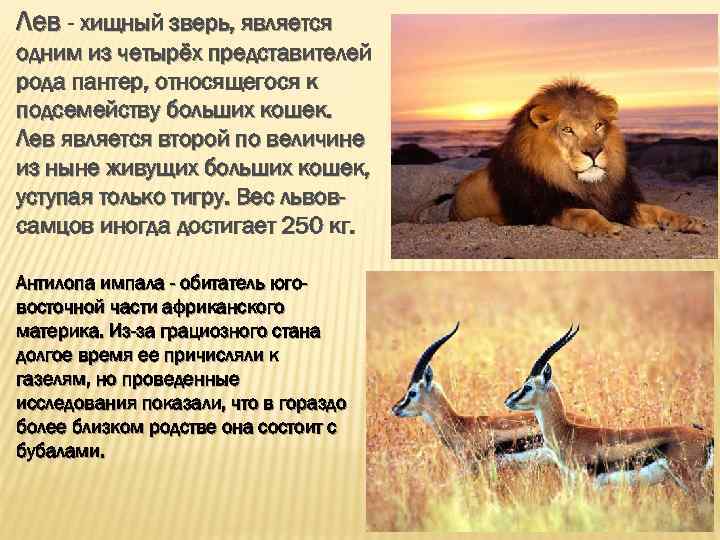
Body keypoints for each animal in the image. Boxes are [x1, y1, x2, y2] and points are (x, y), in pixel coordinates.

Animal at [414, 80, 705, 236]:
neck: (584, 185)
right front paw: (606, 227)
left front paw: (689, 221)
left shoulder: (617, 203)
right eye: (567, 130)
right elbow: (583, 213)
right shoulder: (546, 210)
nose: (594, 152)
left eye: (598, 126)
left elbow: (656, 209)